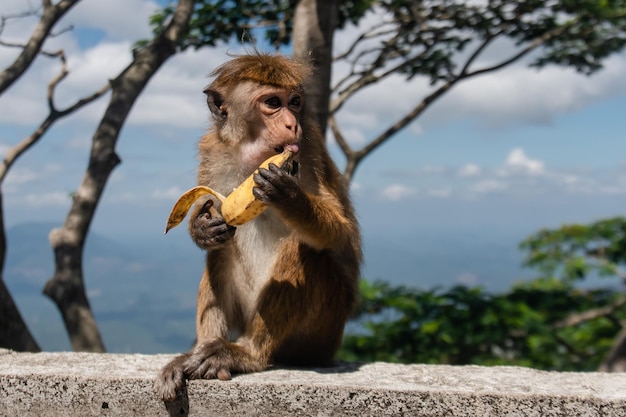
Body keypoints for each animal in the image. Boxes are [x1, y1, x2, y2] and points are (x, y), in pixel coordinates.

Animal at [157, 52, 360, 400]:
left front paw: (289, 196)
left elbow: (339, 230)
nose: (292, 124)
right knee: (222, 250)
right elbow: (210, 211)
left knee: (306, 250)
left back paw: (246, 353)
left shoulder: (310, 149)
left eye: (294, 102)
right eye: (272, 102)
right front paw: (202, 227)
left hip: (320, 335)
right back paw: (202, 351)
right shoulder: (214, 150)